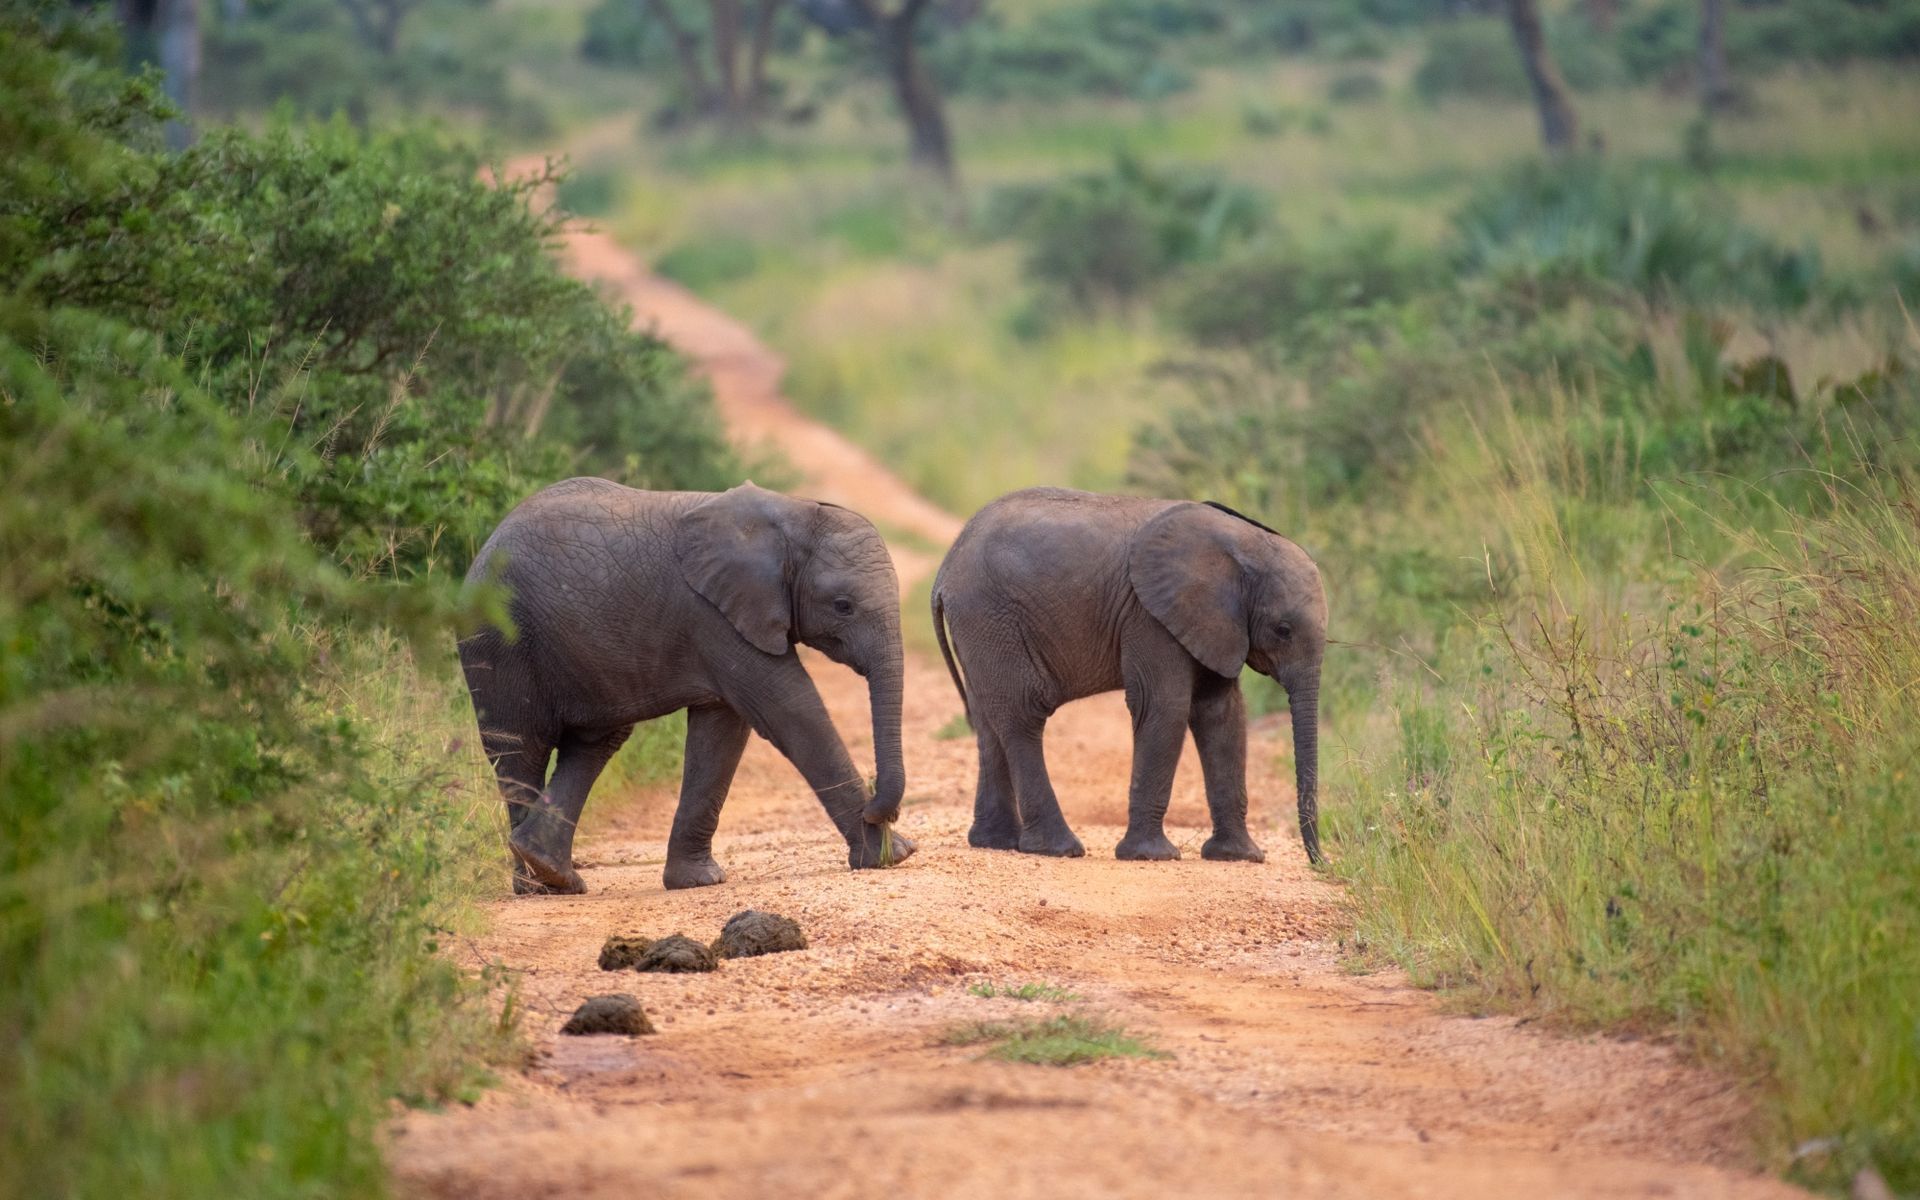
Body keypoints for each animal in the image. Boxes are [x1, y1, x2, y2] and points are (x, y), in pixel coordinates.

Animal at [458, 478, 914, 894]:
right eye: (843, 606)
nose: (877, 806)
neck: (792, 513)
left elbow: (722, 732)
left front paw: (696, 881)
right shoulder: (712, 614)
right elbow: (789, 709)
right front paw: (891, 856)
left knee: (592, 745)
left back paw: (552, 874)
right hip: (499, 641)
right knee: (521, 751)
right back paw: (537, 886)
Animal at [931, 487, 1327, 864]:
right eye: (1283, 630)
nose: (1319, 862)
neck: (1244, 543)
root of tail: (946, 568)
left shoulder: (1216, 623)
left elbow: (1222, 715)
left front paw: (1240, 857)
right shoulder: (1150, 615)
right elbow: (1164, 707)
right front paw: (1152, 856)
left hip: (980, 625)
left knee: (988, 720)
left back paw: (997, 843)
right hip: (990, 616)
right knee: (1022, 715)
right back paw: (1059, 848)